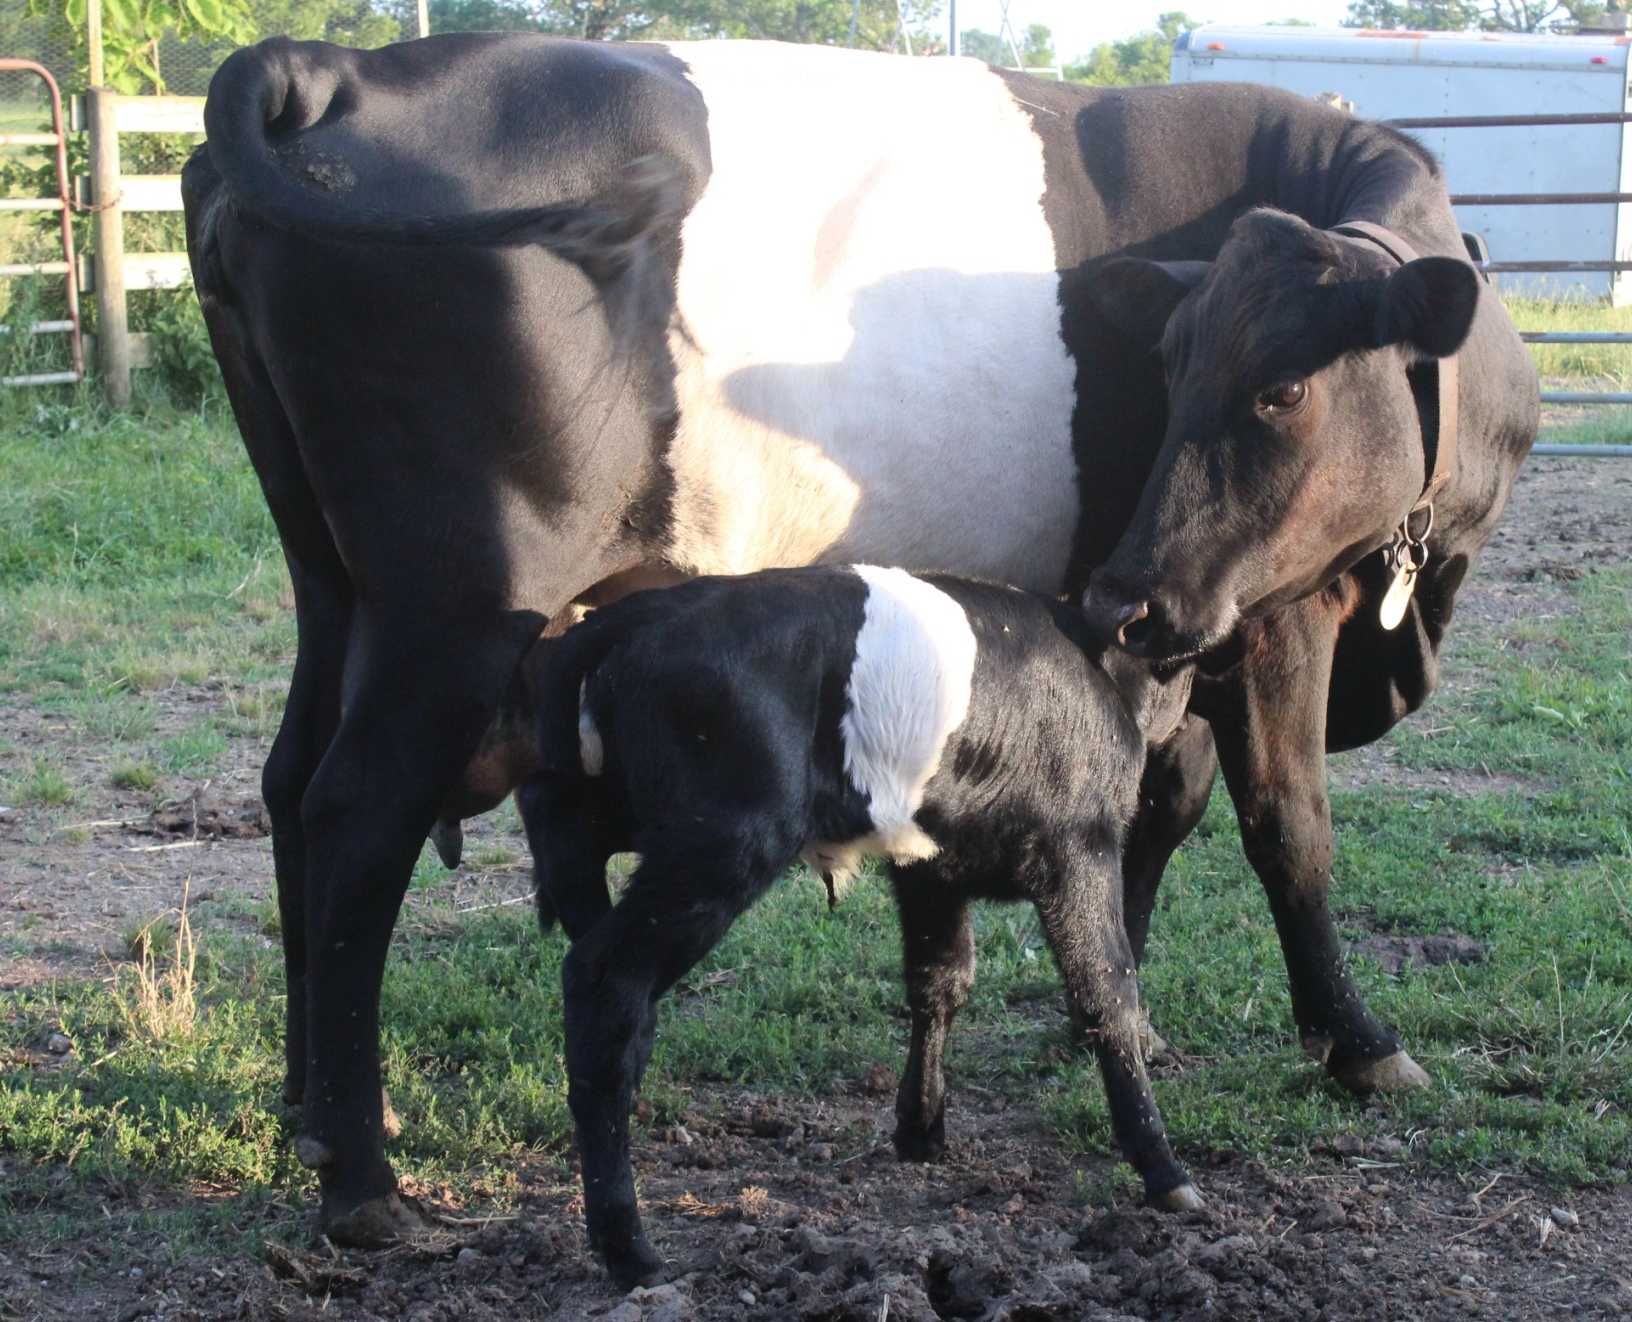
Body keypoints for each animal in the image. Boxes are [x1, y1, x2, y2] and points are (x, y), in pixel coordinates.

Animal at [522, 564, 1200, 1285]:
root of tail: (638, 612)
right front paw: (1163, 1168)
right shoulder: (1080, 845)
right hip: (724, 838)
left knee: (553, 817)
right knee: (604, 980)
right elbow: (1107, 991)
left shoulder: (931, 864)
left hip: (634, 811)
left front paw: (920, 1128)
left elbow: (940, 979)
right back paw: (630, 1248)